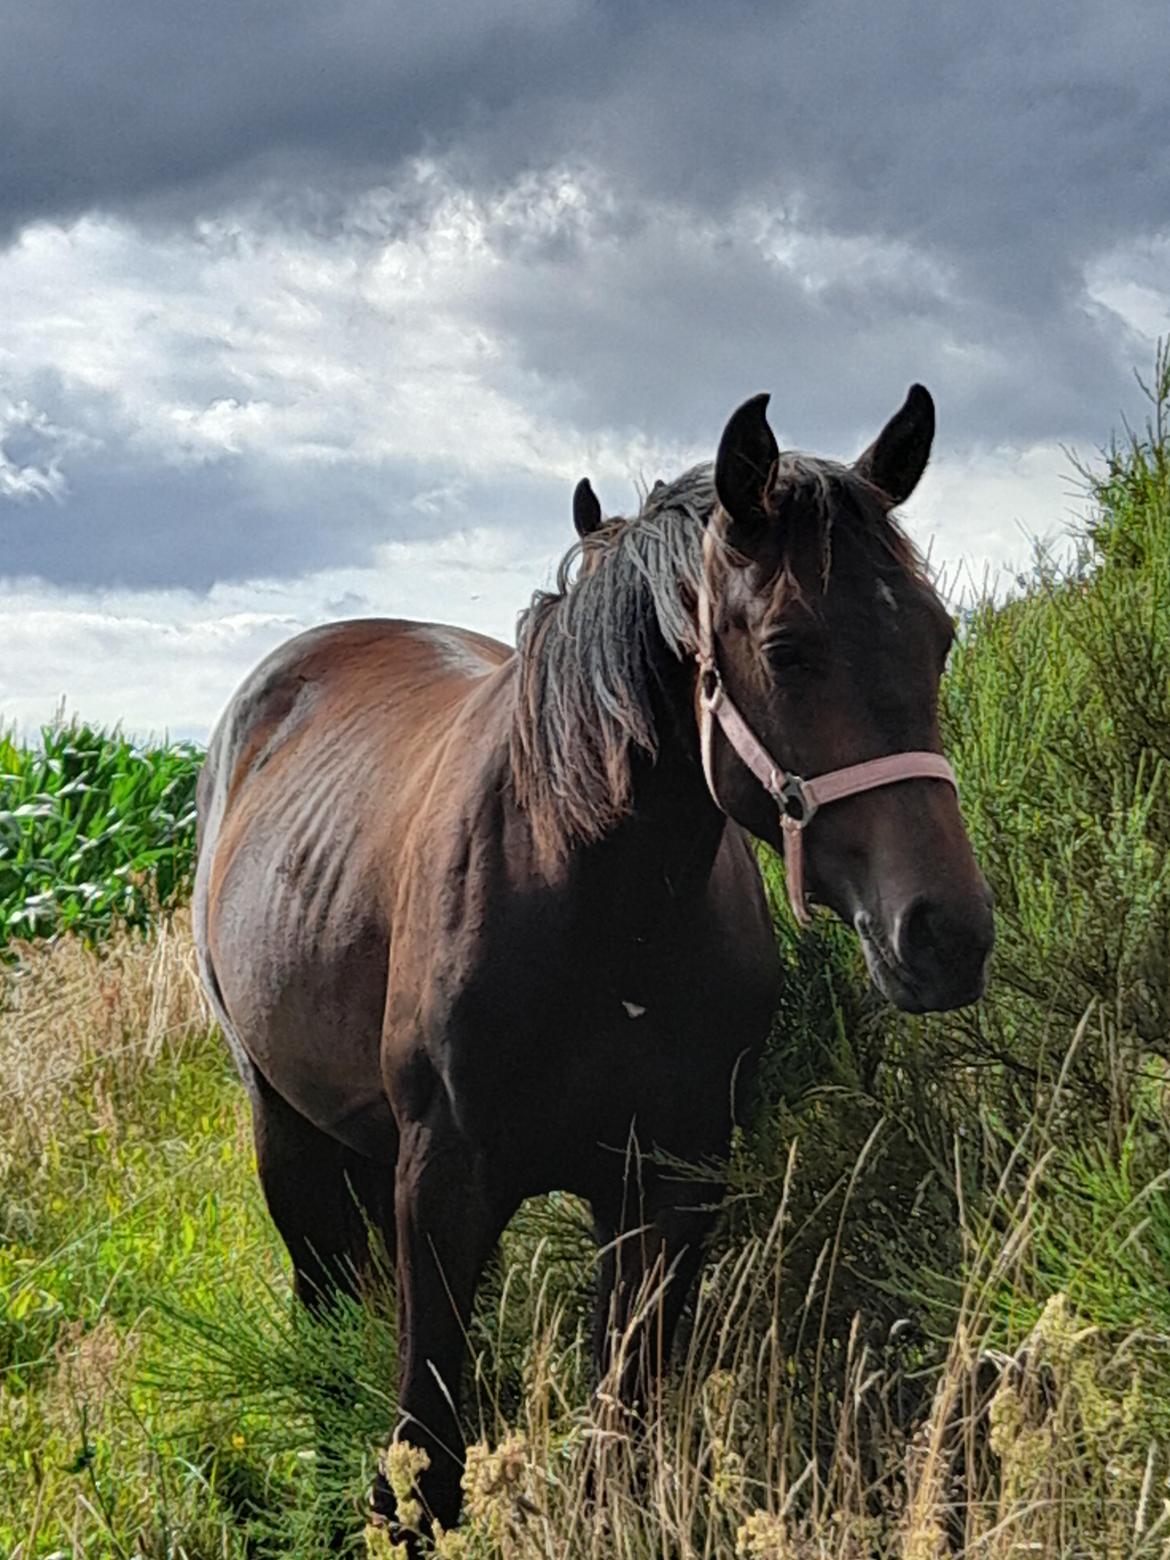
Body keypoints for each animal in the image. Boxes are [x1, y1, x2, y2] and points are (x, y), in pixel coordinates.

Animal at [195, 386, 998, 1535]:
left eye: (940, 637)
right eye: (789, 649)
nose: (946, 934)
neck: (597, 908)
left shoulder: (669, 1182)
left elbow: (624, 1435)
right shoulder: (441, 1185)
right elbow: (429, 1454)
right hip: (284, 1127)